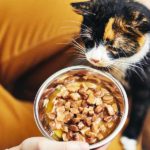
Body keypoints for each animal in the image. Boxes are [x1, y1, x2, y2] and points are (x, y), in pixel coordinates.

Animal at [71, 0, 150, 150]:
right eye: (89, 40)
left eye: (113, 47)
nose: (94, 59)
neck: (123, 62)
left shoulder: (145, 81)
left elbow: (139, 108)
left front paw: (130, 138)